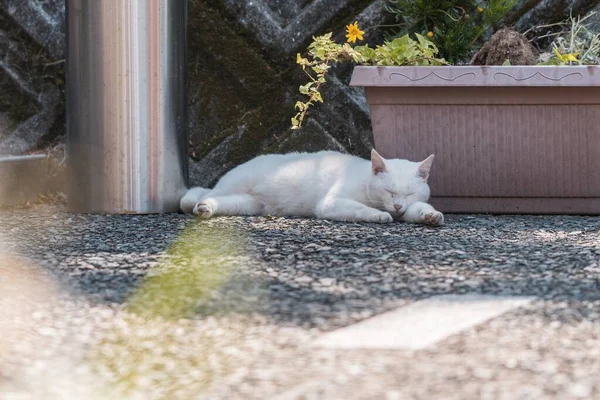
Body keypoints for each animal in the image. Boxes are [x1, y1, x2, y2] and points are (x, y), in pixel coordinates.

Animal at [182, 149, 446, 225]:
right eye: (389, 192)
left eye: (408, 194)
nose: (398, 206)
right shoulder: (331, 203)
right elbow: (361, 208)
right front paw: (379, 215)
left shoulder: (411, 206)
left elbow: (419, 210)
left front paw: (432, 216)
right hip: (236, 183)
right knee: (204, 195)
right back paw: (198, 205)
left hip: (246, 205)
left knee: (220, 202)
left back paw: (206, 208)